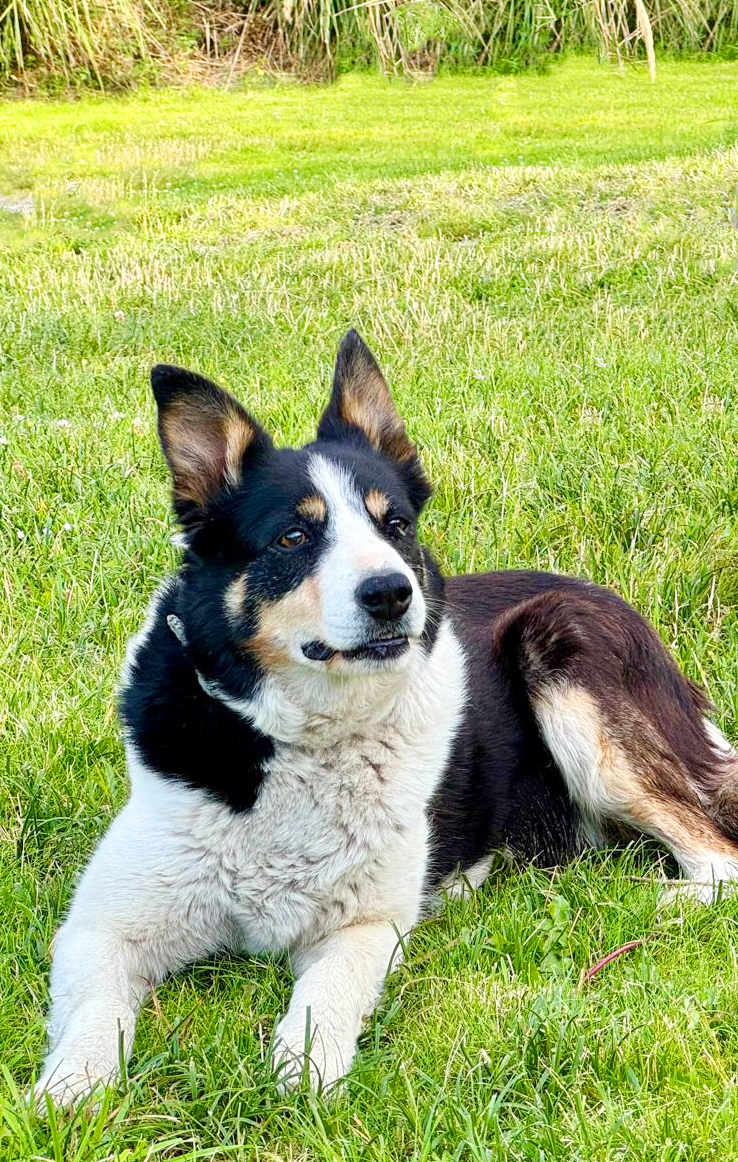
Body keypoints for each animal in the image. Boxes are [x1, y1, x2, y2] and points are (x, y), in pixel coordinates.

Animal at [36, 330, 738, 1106]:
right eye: (293, 538)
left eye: (394, 524)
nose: (391, 593)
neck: (307, 736)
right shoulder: (100, 927)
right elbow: (95, 1012)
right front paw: (71, 1087)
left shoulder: (365, 925)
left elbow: (326, 996)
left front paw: (306, 1068)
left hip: (564, 653)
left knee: (718, 859)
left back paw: (638, 902)